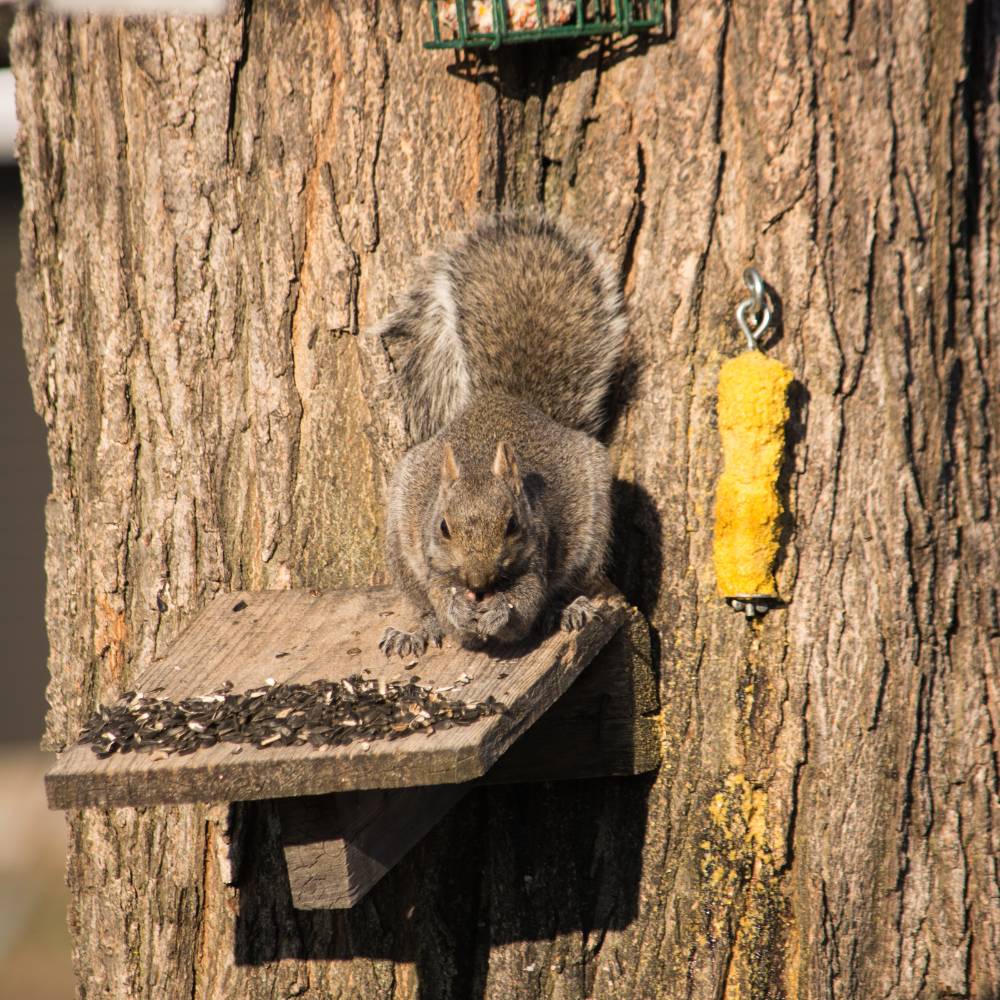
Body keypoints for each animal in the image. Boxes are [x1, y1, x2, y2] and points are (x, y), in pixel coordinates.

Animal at [376, 213, 624, 656]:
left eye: (512, 525)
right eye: (443, 526)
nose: (477, 581)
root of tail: (505, 399)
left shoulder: (538, 550)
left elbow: (526, 601)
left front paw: (500, 611)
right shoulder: (431, 554)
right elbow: (440, 594)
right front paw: (454, 611)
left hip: (592, 538)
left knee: (568, 587)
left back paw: (568, 609)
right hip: (402, 551)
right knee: (420, 601)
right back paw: (417, 630)